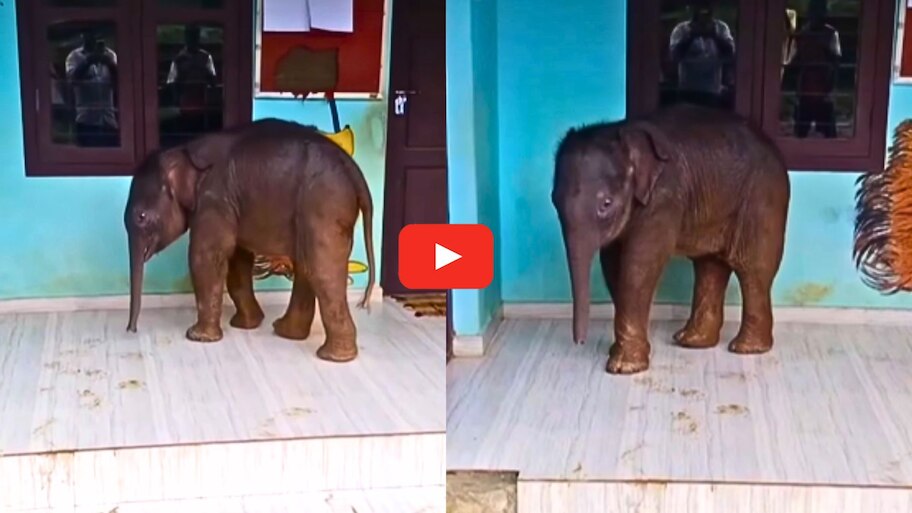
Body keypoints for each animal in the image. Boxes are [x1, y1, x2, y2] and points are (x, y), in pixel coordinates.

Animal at [124, 118, 375, 363]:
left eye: (141, 217)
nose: (131, 330)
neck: (184, 149)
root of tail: (355, 171)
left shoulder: (215, 201)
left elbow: (206, 256)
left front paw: (197, 337)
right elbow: (238, 260)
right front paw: (244, 325)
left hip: (324, 206)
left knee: (321, 269)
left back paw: (332, 356)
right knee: (306, 265)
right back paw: (287, 332)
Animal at [551, 104, 790, 375]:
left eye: (606, 204)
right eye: (554, 200)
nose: (580, 342)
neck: (622, 131)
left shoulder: (664, 198)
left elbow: (638, 265)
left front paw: (623, 367)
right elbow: (613, 265)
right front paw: (620, 354)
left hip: (763, 198)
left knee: (753, 268)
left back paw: (745, 348)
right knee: (710, 265)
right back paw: (692, 341)